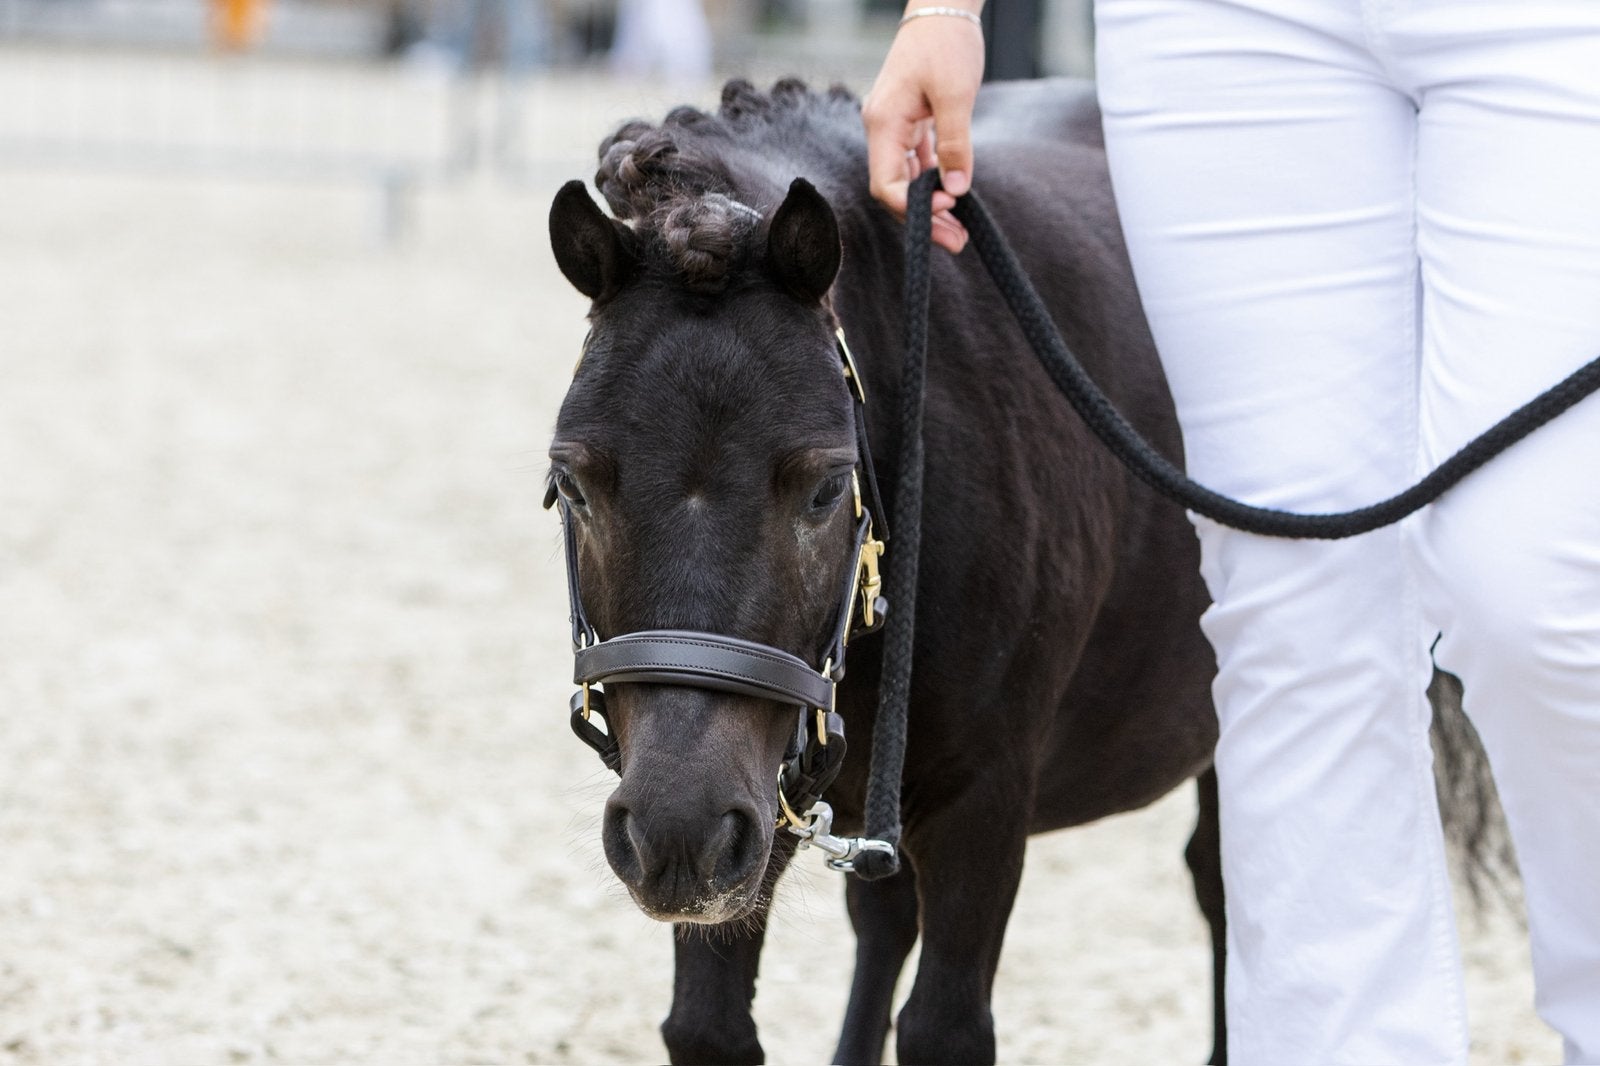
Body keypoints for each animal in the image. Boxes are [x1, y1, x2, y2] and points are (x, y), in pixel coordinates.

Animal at [545, 75, 1226, 1065]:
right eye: (574, 483)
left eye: (828, 487)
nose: (674, 833)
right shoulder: (762, 803)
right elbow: (709, 1024)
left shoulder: (984, 800)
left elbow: (943, 1028)